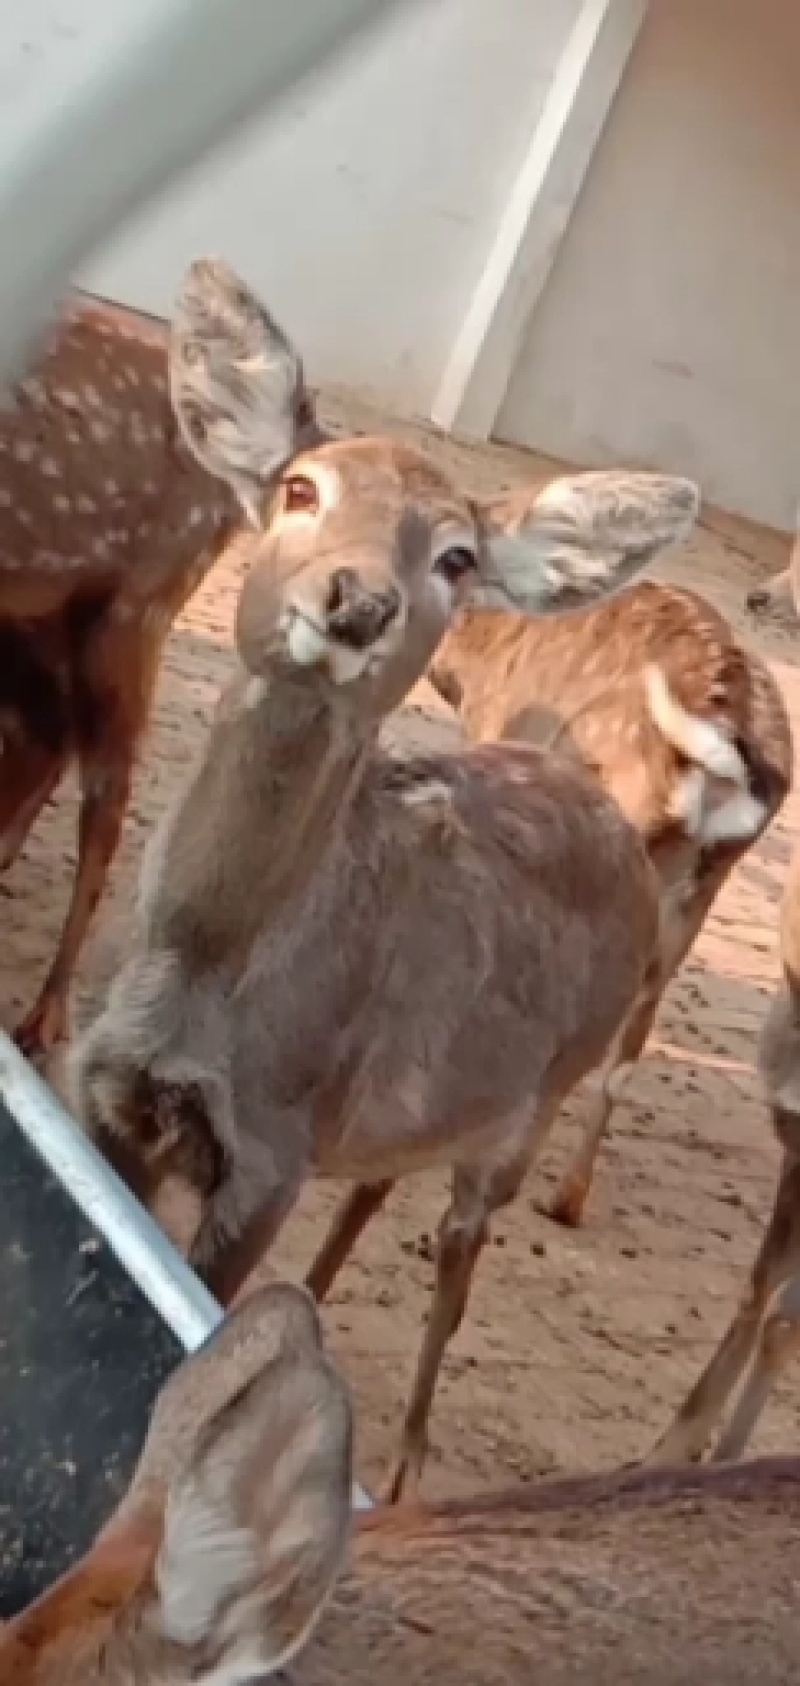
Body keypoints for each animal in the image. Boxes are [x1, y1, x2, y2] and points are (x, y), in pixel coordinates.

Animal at [65, 256, 707, 1505]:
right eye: (299, 488)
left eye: (456, 555)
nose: (357, 600)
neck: (199, 977)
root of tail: (615, 819)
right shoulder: (104, 1087)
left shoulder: (271, 1148)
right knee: (381, 1185)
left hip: (532, 1107)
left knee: (458, 1261)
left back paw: (407, 1463)